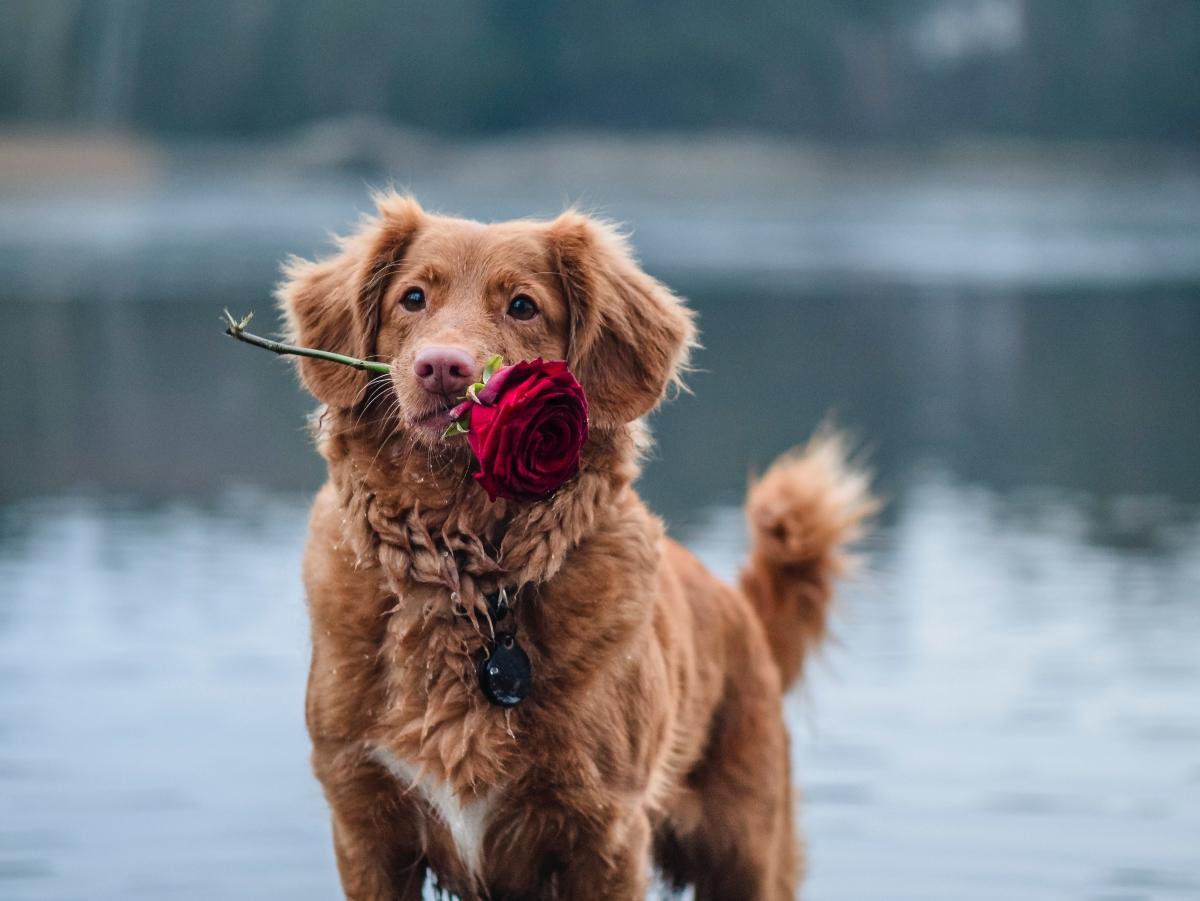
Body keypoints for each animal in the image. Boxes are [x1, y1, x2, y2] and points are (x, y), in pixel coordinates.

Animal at [280, 194, 873, 897]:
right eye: (413, 297)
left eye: (523, 306)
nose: (443, 367)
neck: (468, 574)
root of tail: (742, 610)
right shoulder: (364, 825)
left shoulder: (605, 832)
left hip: (747, 853)